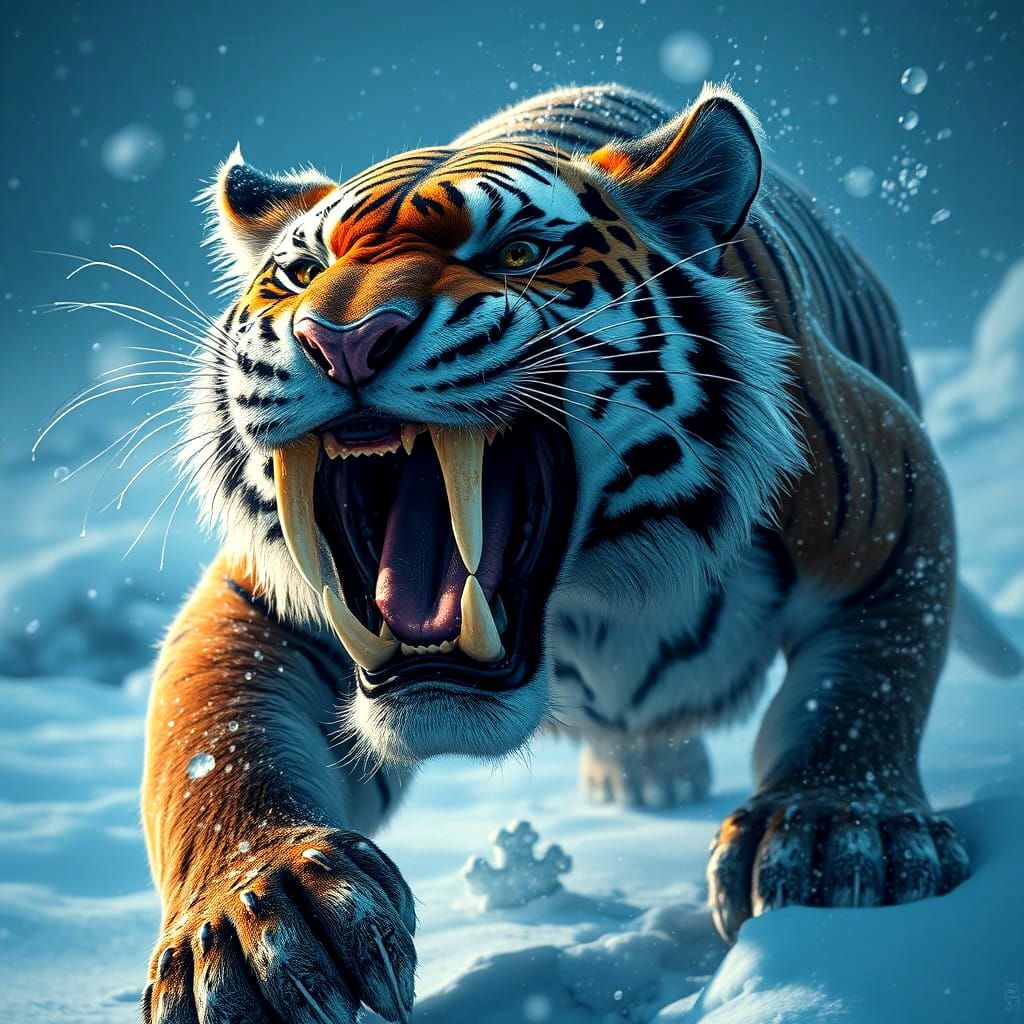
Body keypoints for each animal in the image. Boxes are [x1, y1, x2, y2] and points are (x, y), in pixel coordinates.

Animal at [137, 82, 1020, 1023]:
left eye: (517, 253)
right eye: (301, 275)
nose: (339, 341)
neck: (589, 597)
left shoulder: (895, 501)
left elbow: (862, 691)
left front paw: (841, 837)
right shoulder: (260, 604)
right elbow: (213, 746)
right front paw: (258, 921)